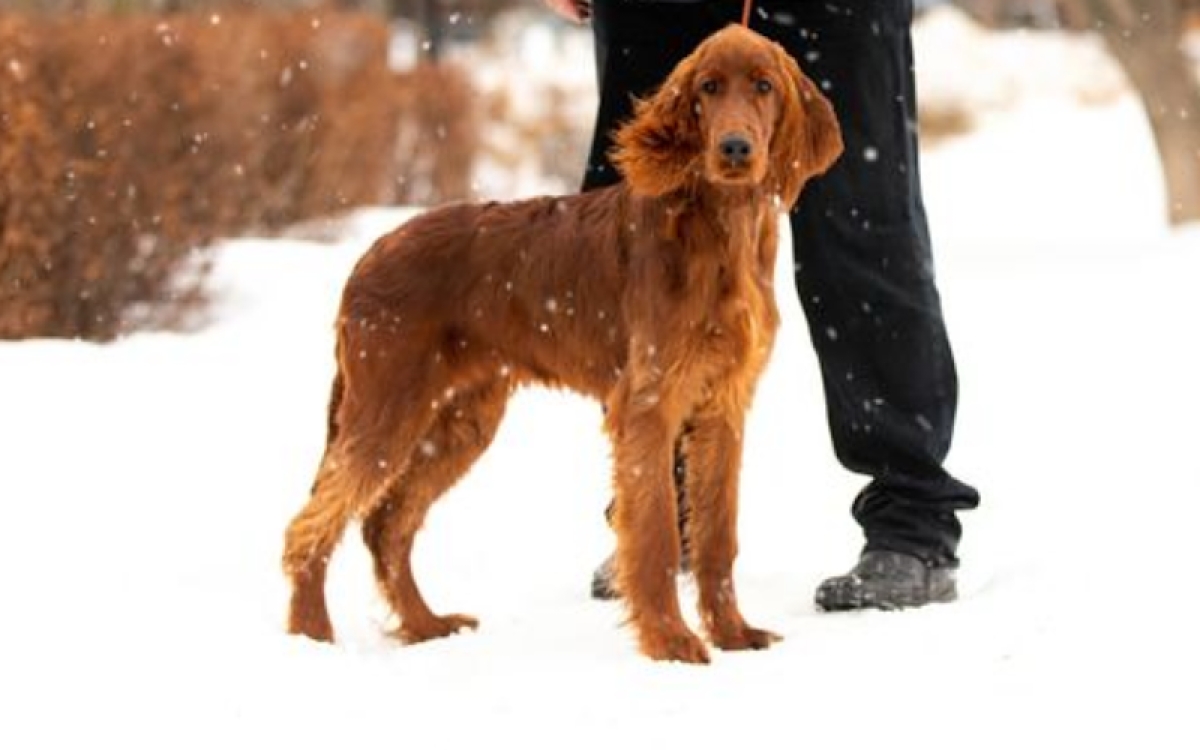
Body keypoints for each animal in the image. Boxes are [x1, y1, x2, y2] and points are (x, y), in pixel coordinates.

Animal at [283, 26, 844, 662]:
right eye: (708, 87)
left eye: (764, 86)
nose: (734, 149)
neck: (722, 226)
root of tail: (368, 255)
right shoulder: (649, 405)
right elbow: (654, 534)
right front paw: (670, 642)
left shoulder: (723, 407)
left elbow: (717, 535)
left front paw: (733, 634)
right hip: (387, 408)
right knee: (311, 523)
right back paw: (311, 635)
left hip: (459, 421)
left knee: (386, 526)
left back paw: (427, 625)